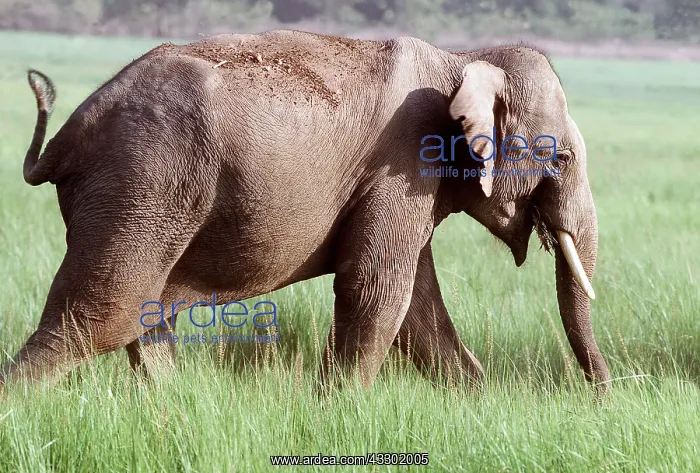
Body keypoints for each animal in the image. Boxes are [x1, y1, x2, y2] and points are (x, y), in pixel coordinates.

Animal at [2, 30, 611, 392]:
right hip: (145, 178)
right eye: (560, 155)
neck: (461, 60)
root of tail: (67, 136)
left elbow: (417, 305)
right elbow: (377, 290)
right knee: (97, 319)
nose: (603, 397)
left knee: (142, 320)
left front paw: (475, 403)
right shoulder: (401, 163)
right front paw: (338, 408)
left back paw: (175, 411)